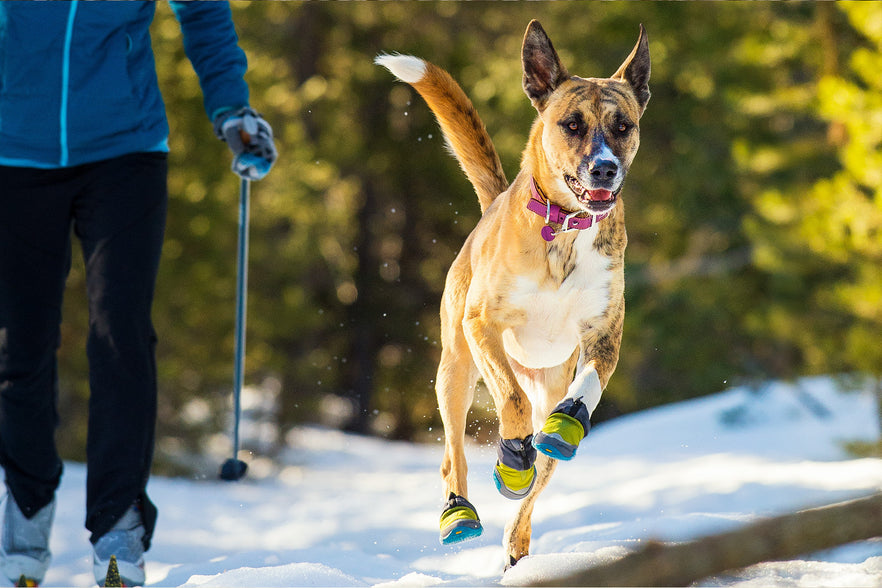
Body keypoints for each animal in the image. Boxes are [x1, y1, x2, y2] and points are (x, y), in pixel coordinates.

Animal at [372, 19, 648, 564]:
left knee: (541, 472)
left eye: (623, 125)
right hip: (455, 368)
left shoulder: (603, 333)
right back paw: (460, 513)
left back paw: (518, 535)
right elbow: (510, 402)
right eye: (571, 124)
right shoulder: (483, 325)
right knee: (454, 452)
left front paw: (563, 428)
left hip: (546, 380)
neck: (563, 230)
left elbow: (584, 391)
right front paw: (512, 455)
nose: (605, 169)